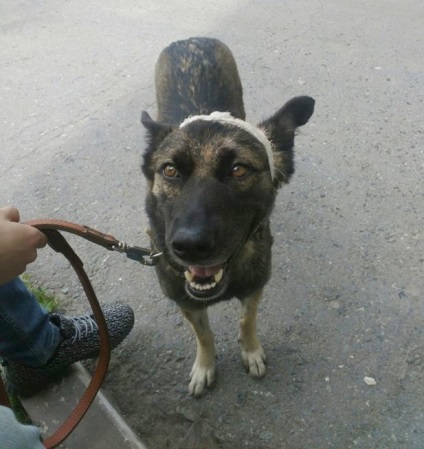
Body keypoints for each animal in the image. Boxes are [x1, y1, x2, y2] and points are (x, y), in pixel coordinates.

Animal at [141, 38, 314, 396]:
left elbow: (247, 320)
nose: (189, 246)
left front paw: (251, 351)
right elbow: (203, 334)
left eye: (239, 170)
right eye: (170, 170)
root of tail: (191, 39)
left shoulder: (254, 287)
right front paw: (205, 365)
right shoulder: (187, 302)